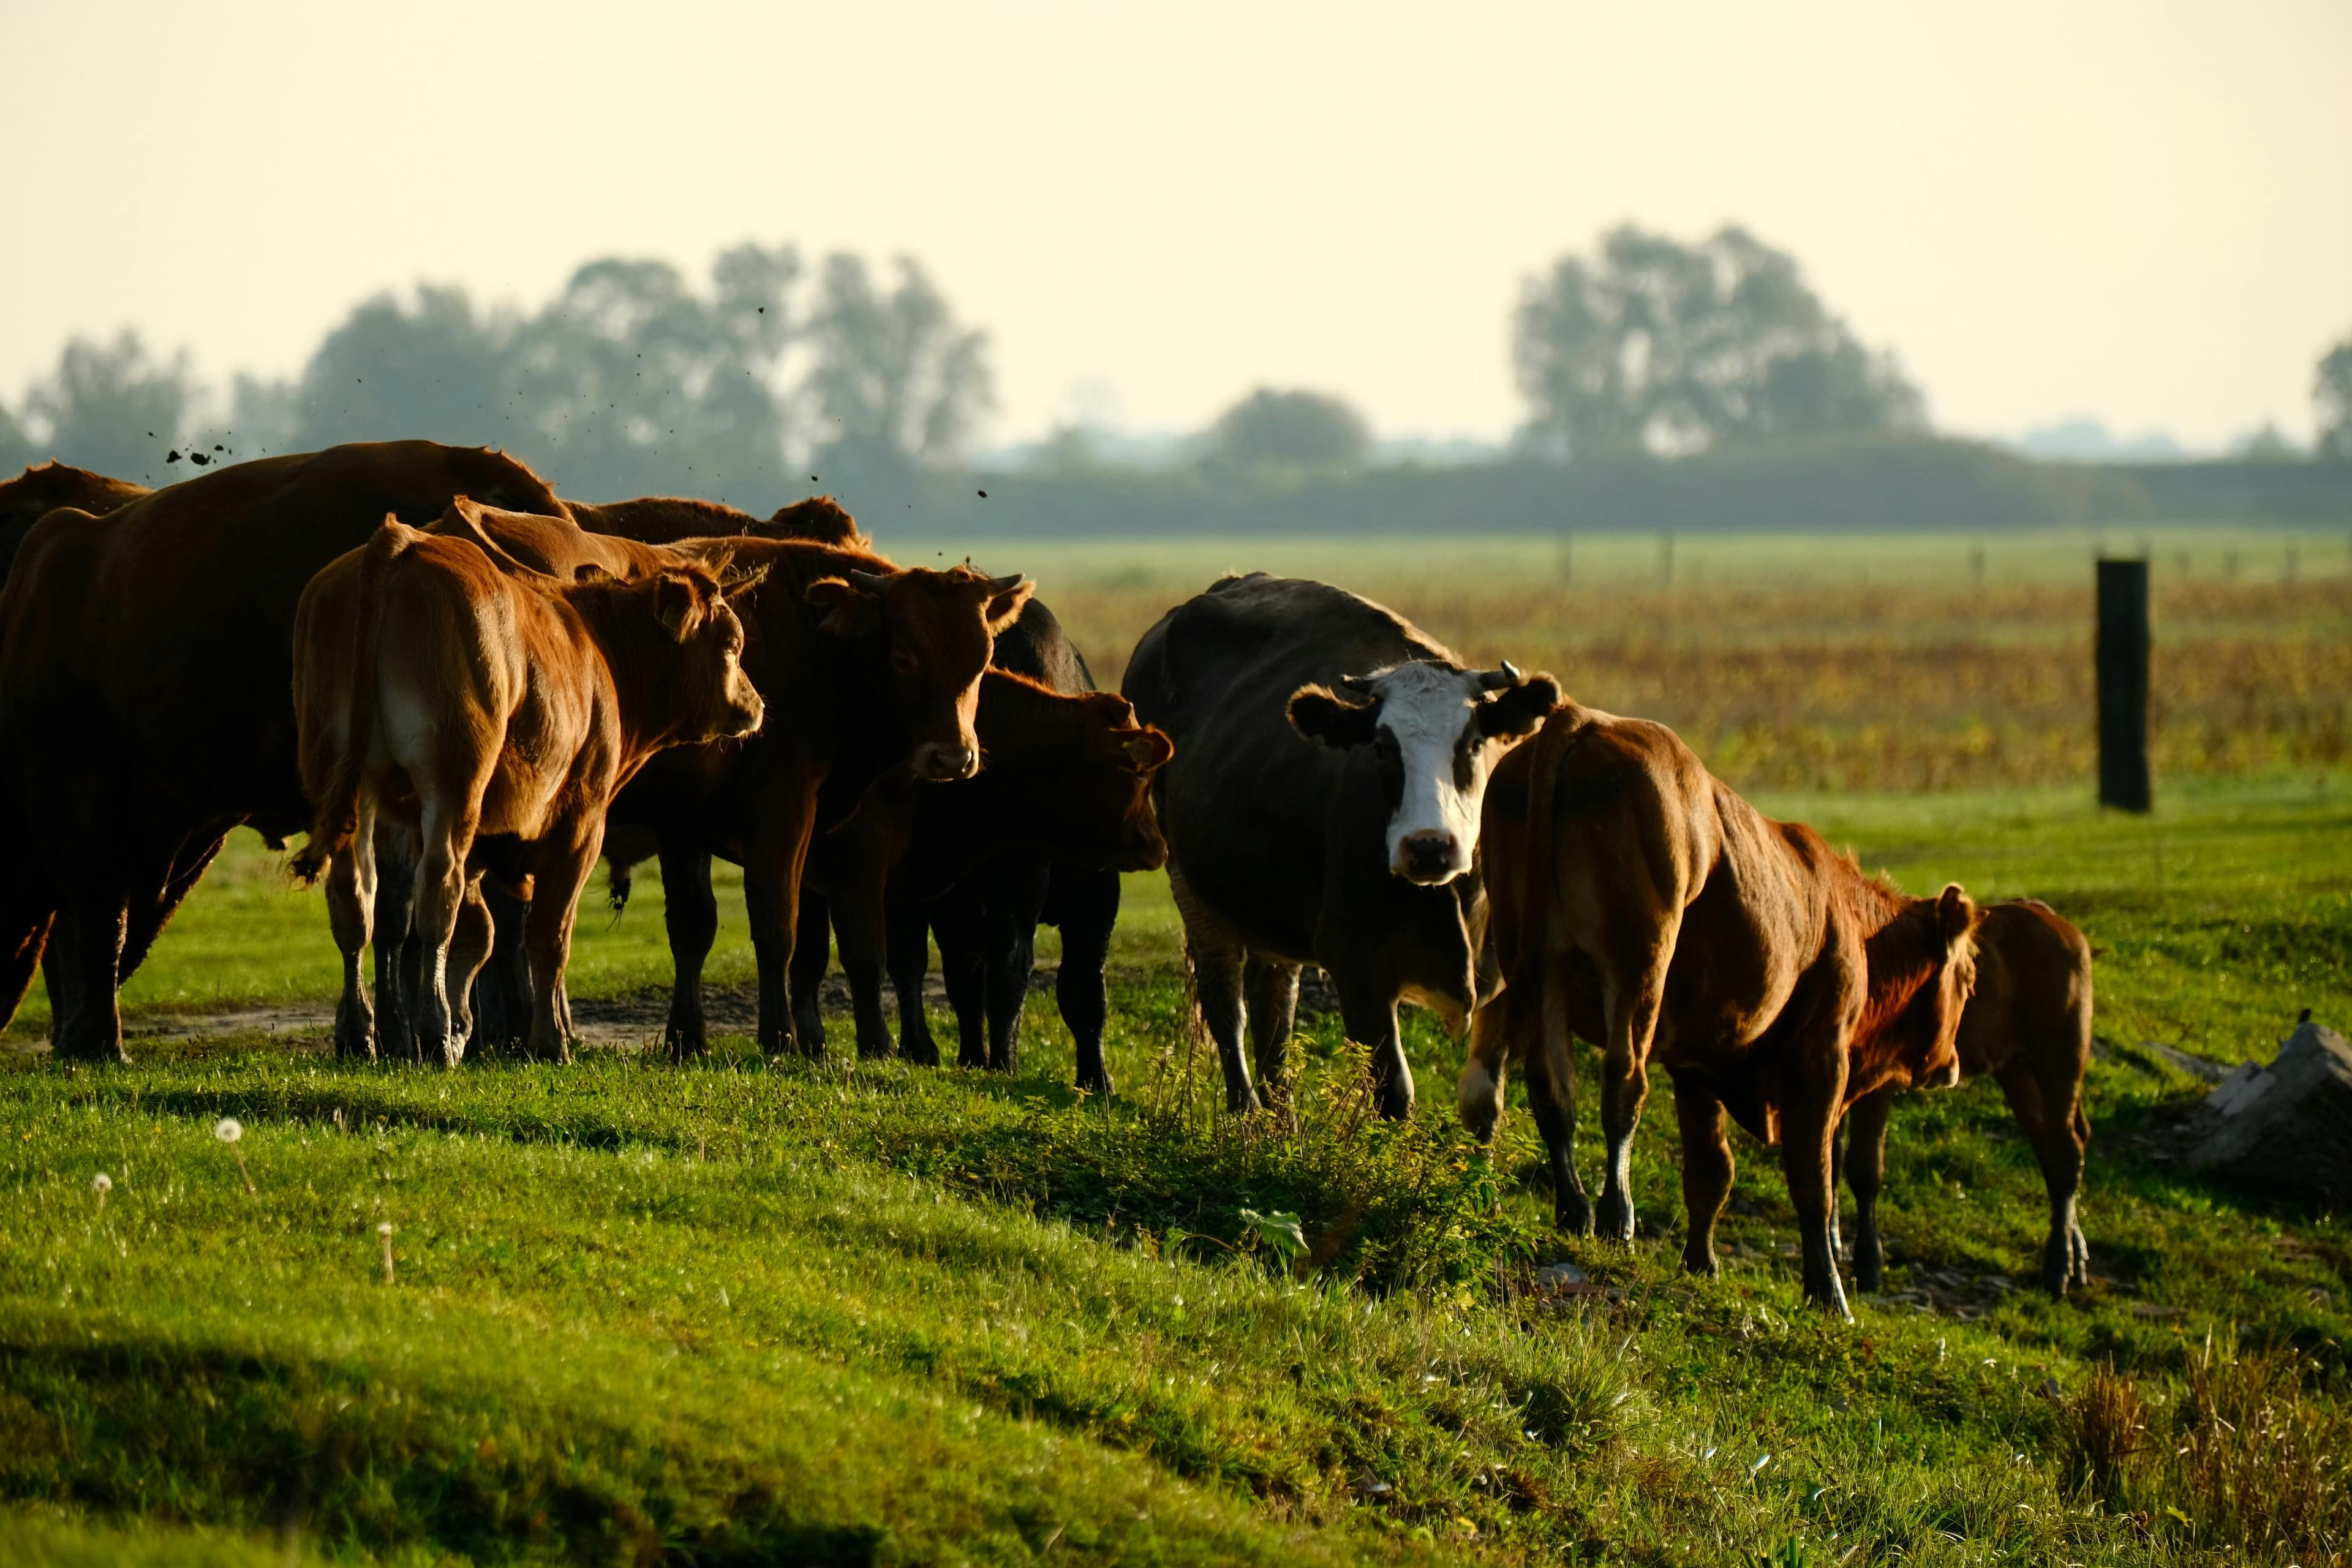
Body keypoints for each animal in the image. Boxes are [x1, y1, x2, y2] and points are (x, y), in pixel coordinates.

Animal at [292, 503, 765, 1064]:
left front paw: (467, 1029)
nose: (755, 704)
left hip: (345, 783)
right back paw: (432, 1031)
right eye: (732, 644)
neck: (596, 647)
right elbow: (547, 933)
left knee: (355, 900)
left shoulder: (481, 838)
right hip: (453, 782)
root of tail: (399, 540)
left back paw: (359, 1034)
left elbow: (478, 935)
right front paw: (547, 1041)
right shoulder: (581, 822)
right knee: (438, 894)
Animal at [1122, 573, 1557, 1118]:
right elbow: (1394, 1093)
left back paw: (1283, 1119)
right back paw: (1246, 1112)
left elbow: (1484, 1102)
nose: (1429, 848)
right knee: (1226, 1001)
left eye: (1474, 744)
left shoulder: (1506, 979)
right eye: (1382, 748)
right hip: (1190, 883)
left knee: (1274, 1006)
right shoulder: (1358, 969)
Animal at [1457, 701, 1981, 1316]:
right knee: (1623, 1081)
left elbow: (1712, 1169)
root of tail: (1585, 718)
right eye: (1969, 978)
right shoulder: (1822, 1054)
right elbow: (1814, 1178)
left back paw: (1573, 1209)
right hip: (1639, 959)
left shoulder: (1697, 1060)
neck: (1848, 921)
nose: (1951, 1065)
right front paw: (1828, 1292)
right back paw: (1616, 1216)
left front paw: (1701, 1263)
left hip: (1538, 962)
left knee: (1543, 1085)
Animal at [1839, 898, 2094, 1297]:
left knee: (2068, 1151)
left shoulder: (1876, 1082)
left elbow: (1864, 1168)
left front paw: (1867, 1266)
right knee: (2053, 1148)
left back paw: (2057, 1269)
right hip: (2017, 1070)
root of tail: (2049, 916)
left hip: (2061, 1055)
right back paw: (2076, 1256)